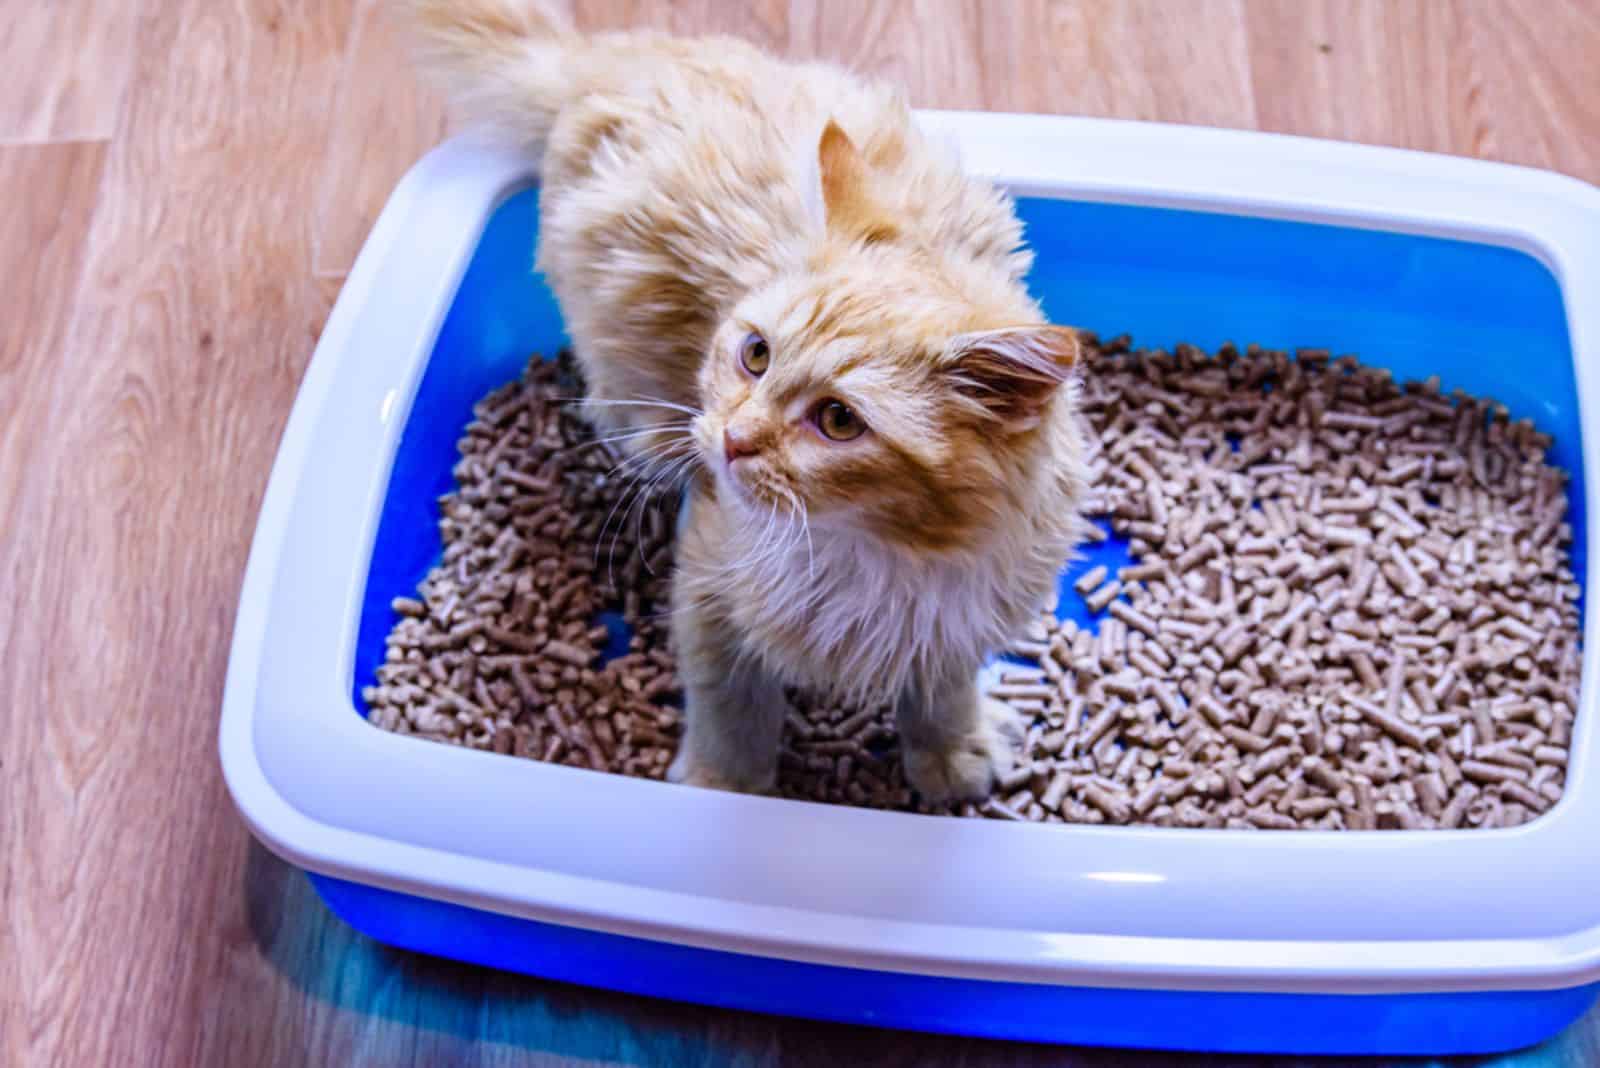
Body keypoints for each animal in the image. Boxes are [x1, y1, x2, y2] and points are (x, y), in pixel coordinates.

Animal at [406, 0, 1094, 799]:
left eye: (838, 420)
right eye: (756, 356)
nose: (733, 440)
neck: (876, 556)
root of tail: (620, 57)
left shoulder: (957, 622)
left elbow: (941, 692)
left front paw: (952, 755)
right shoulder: (710, 590)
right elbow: (730, 708)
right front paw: (724, 785)